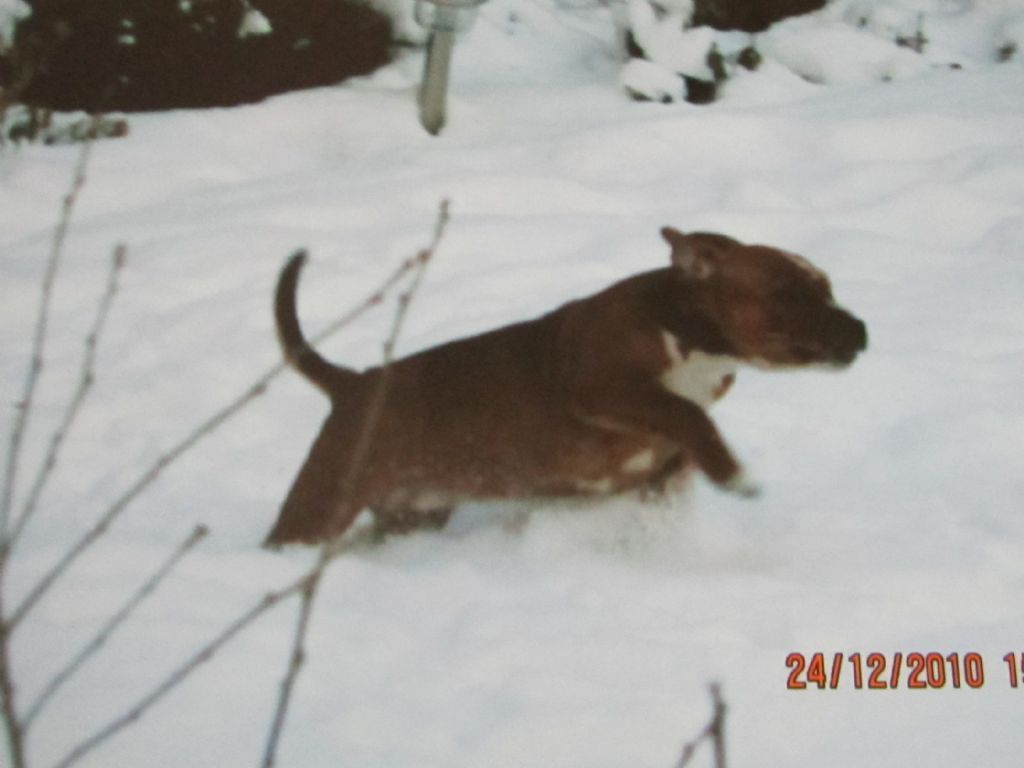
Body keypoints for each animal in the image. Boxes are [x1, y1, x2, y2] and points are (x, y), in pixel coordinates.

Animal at [264, 227, 867, 546]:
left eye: (828, 288)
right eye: (787, 294)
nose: (860, 328)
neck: (688, 333)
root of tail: (354, 383)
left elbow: (683, 445)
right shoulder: (603, 388)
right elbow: (685, 413)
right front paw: (735, 474)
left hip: (414, 513)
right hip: (321, 505)